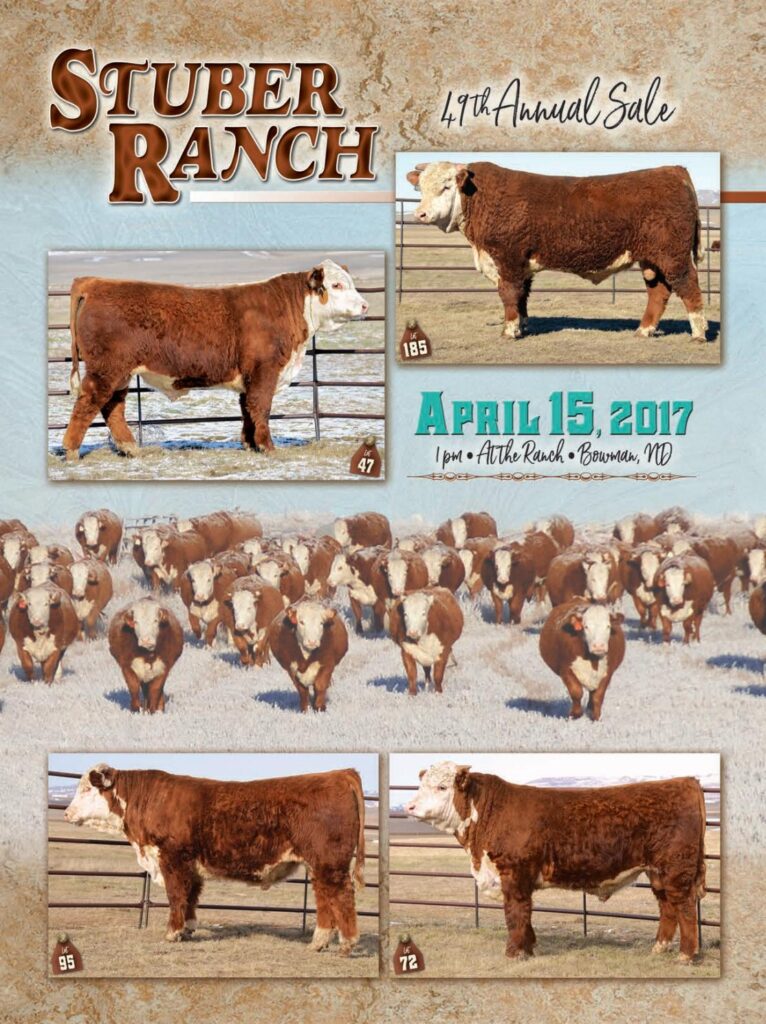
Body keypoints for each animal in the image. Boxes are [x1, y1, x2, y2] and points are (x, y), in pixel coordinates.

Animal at [63, 260, 368, 460]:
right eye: (336, 284)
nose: (365, 305)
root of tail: (94, 282)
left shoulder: (249, 376)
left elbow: (247, 408)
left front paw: (250, 445)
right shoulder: (265, 371)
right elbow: (261, 407)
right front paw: (267, 447)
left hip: (120, 371)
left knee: (112, 406)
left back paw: (130, 447)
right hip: (107, 368)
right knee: (89, 402)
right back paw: (72, 450)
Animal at [64, 764, 366, 954]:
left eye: (87, 790)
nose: (66, 813)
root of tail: (339, 774)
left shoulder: (172, 858)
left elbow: (176, 895)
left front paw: (172, 933)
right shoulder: (190, 866)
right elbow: (191, 897)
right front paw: (188, 929)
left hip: (329, 863)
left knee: (342, 896)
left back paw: (347, 944)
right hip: (319, 865)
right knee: (324, 898)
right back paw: (318, 943)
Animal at [405, 764, 707, 963]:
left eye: (442, 787)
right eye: (421, 785)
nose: (409, 807)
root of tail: (686, 782)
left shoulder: (514, 874)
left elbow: (515, 913)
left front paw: (514, 953)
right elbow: (525, 914)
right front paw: (530, 949)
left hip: (676, 868)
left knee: (684, 906)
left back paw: (685, 955)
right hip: (657, 871)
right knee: (667, 907)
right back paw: (659, 948)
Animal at [407, 161, 707, 342]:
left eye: (446, 187)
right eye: (420, 188)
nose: (420, 214)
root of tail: (674, 170)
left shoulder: (508, 259)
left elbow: (509, 295)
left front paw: (509, 331)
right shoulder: (522, 265)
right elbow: (522, 297)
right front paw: (523, 326)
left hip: (674, 256)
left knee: (689, 287)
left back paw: (699, 333)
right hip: (652, 259)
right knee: (659, 292)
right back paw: (643, 330)